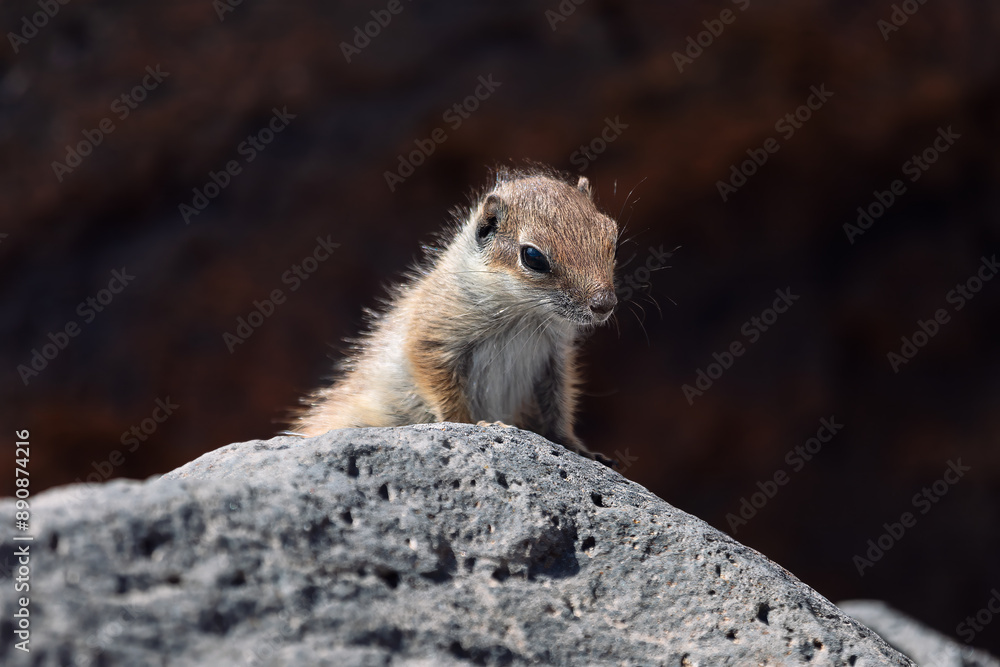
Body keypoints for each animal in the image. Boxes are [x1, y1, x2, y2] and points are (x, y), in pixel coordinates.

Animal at [290, 166, 619, 465]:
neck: (525, 315)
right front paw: (475, 425)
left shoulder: (555, 360)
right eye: (533, 257)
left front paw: (576, 446)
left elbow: (559, 406)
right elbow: (444, 391)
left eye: (611, 237)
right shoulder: (433, 338)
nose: (604, 304)